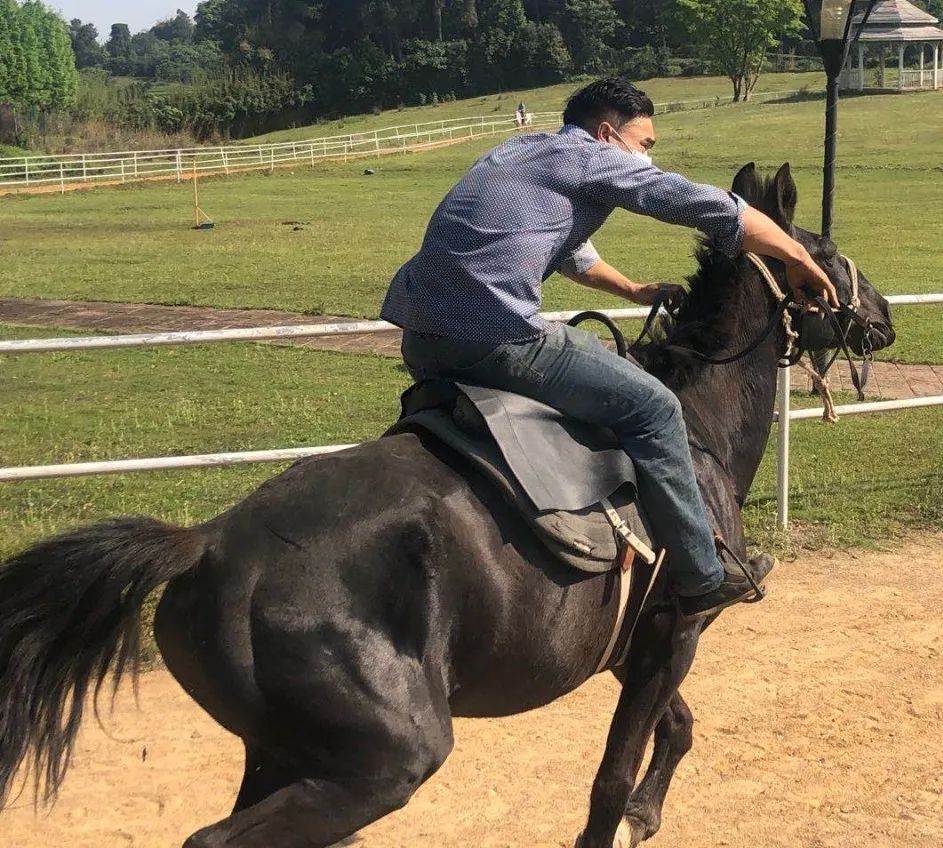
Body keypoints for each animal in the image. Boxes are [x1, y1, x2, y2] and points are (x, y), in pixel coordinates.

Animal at [0, 162, 892, 844]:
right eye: (825, 250)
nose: (881, 319)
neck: (693, 424)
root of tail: (208, 542)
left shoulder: (640, 645)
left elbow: (674, 730)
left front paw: (646, 812)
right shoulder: (676, 630)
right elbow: (609, 778)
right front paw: (628, 811)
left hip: (282, 753)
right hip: (381, 761)